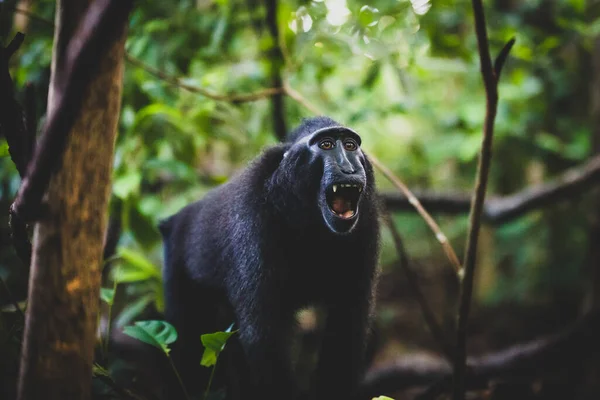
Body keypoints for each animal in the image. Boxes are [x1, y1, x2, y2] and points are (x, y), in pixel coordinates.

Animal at [161, 116, 380, 400]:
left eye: (351, 145)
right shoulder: (254, 218)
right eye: (327, 144)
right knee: (186, 345)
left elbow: (347, 329)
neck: (308, 221)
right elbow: (264, 338)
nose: (349, 167)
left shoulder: (366, 225)